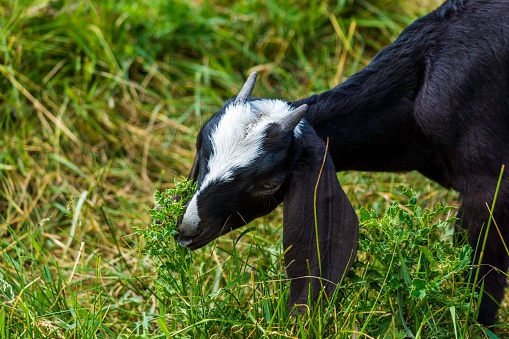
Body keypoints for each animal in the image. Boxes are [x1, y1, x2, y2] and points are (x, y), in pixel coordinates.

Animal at [176, 0, 508, 330]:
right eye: (200, 145)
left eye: (268, 183)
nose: (188, 228)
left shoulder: (490, 187)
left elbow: (483, 276)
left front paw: (477, 327)